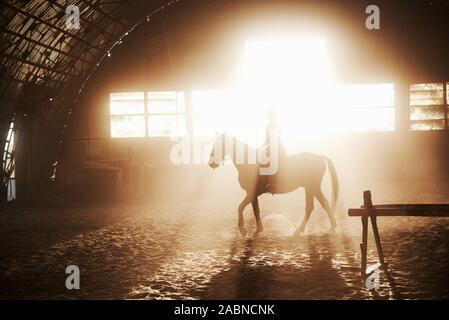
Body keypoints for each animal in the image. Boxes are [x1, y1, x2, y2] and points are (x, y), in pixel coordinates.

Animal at [208, 133, 338, 238]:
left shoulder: (250, 193)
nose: (211, 163)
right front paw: (258, 231)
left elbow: (240, 207)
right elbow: (256, 211)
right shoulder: (253, 195)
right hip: (310, 187)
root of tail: (319, 157)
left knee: (319, 205)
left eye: (219, 144)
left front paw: (243, 230)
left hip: (312, 186)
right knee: (315, 206)